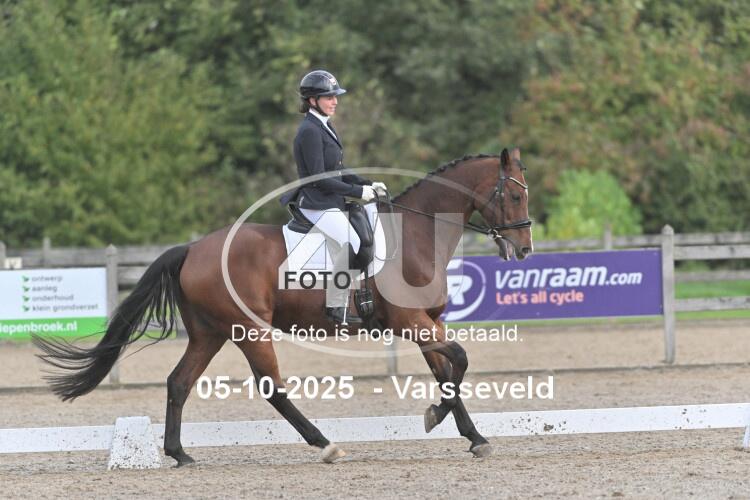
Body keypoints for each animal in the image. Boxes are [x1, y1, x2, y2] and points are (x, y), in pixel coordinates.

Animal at [34, 147, 533, 466]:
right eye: (514, 194)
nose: (525, 248)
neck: (415, 235)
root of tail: (193, 248)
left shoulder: (428, 321)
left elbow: (448, 372)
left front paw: (474, 437)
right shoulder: (410, 321)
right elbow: (460, 360)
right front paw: (435, 417)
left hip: (210, 333)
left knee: (179, 382)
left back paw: (179, 454)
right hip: (249, 330)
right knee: (271, 388)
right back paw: (325, 445)